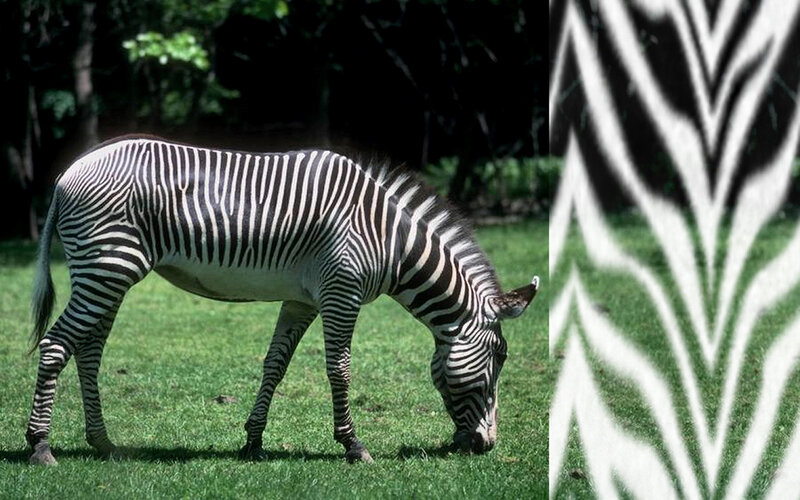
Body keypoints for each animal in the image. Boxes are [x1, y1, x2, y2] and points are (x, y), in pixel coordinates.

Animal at [26, 135, 539, 466]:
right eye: (500, 357)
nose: (486, 445)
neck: (389, 239)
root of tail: (69, 173)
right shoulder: (341, 292)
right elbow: (340, 369)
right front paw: (353, 446)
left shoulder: (302, 300)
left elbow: (275, 363)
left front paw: (252, 441)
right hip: (107, 267)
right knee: (55, 346)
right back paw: (40, 447)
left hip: (109, 272)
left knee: (88, 351)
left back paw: (103, 443)